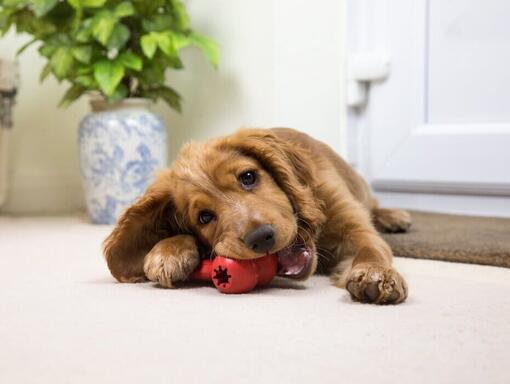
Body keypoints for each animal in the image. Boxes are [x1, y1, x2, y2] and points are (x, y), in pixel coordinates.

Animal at [103, 128, 410, 304]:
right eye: (204, 217)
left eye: (248, 177)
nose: (261, 238)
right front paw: (167, 252)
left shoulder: (354, 226)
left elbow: (370, 248)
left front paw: (377, 274)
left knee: (373, 205)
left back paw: (394, 216)